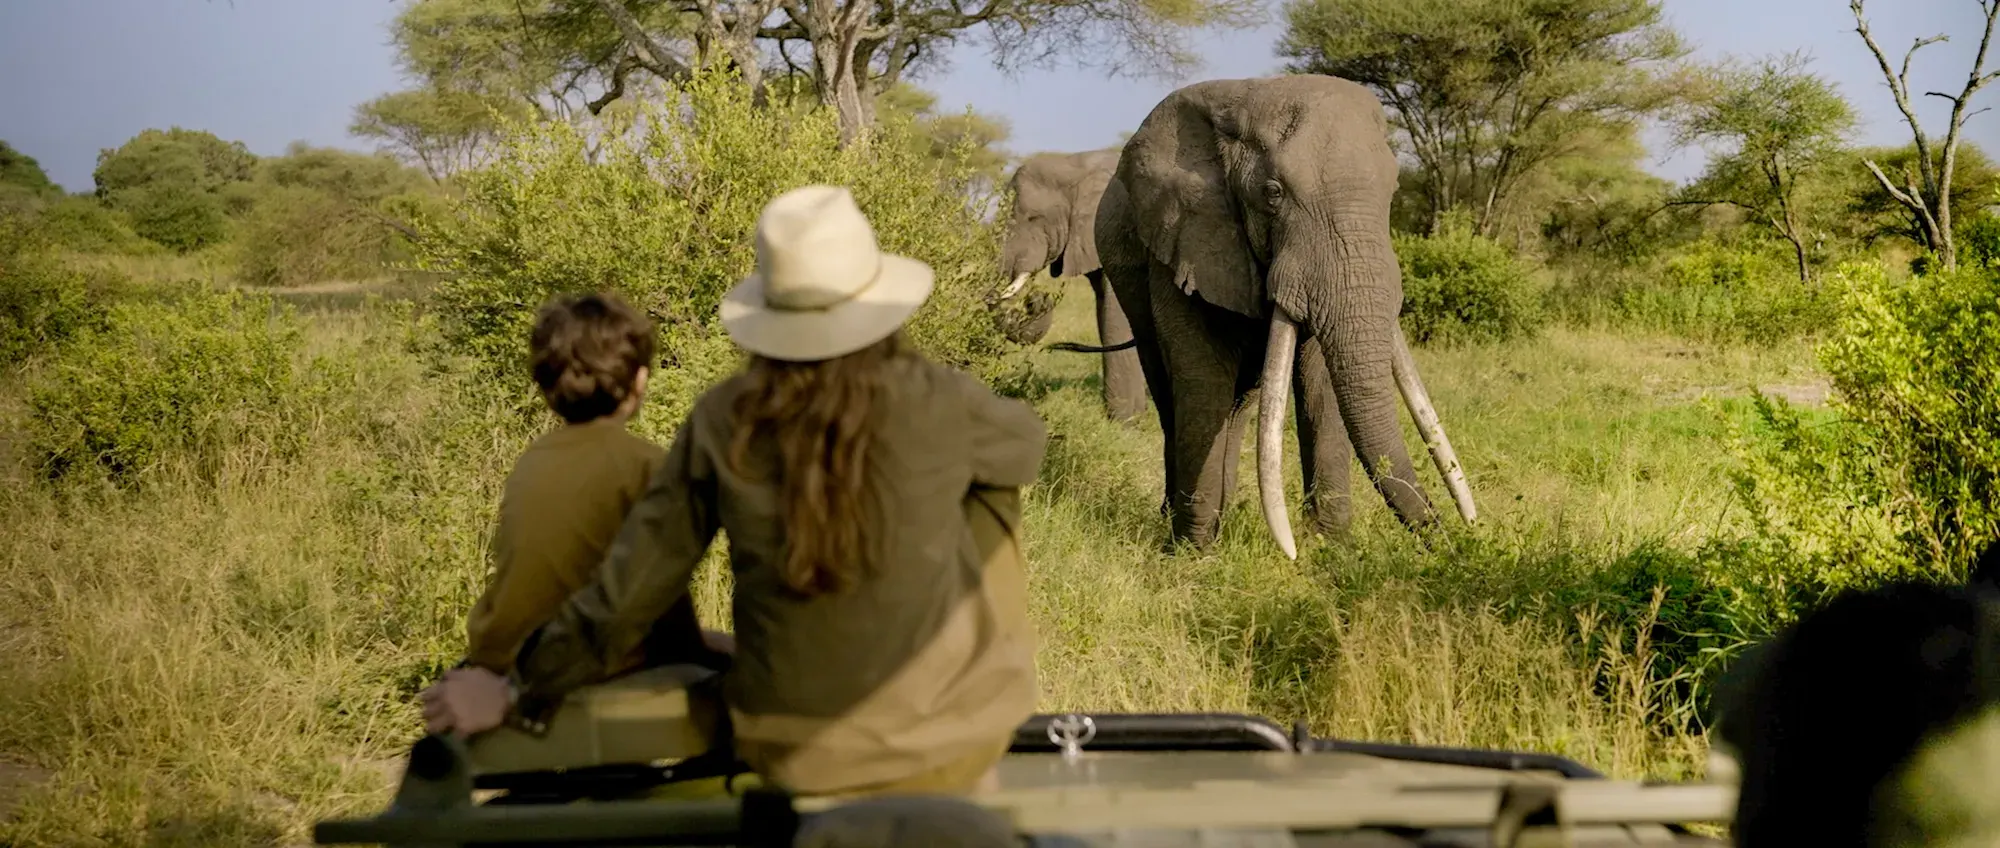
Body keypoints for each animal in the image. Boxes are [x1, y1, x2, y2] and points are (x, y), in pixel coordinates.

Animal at [1093, 74, 1477, 559]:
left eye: (1392, 193)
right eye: (1272, 194)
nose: (1456, 538)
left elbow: (1319, 379)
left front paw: (1331, 549)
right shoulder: (1179, 236)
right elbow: (1202, 374)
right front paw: (1193, 556)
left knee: (1241, 402)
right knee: (1171, 390)